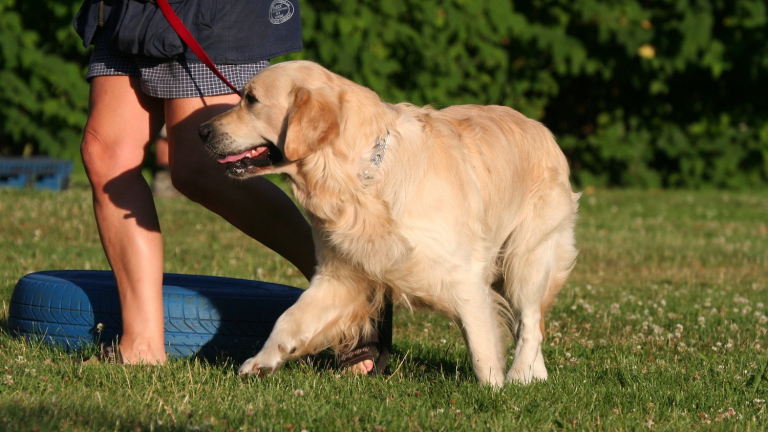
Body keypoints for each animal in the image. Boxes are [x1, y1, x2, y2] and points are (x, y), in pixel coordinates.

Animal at [196, 60, 576, 384]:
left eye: (251, 100)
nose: (201, 131)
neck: (358, 177)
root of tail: (542, 129)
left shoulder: (464, 275)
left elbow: (482, 349)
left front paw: (493, 393)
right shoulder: (341, 275)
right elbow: (289, 319)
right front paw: (261, 361)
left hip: (526, 256)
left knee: (530, 322)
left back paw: (519, 375)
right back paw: (535, 375)